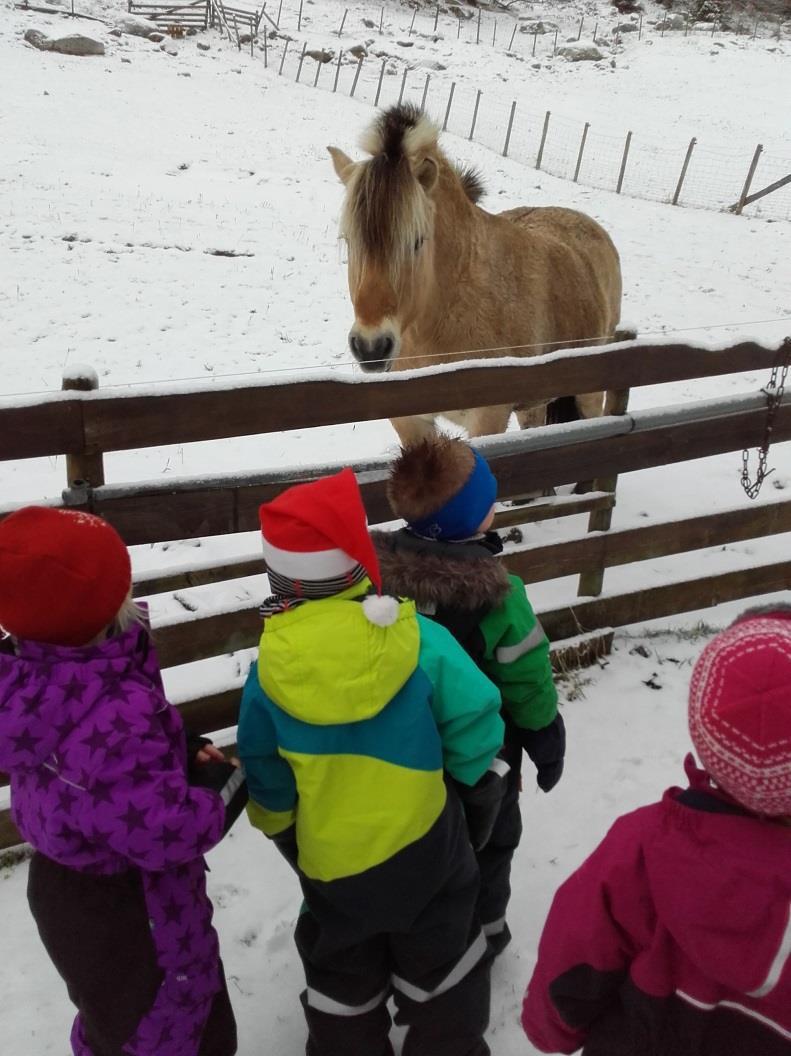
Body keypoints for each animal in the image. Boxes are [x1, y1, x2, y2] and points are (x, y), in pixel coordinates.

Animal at [327, 101, 625, 441]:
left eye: (417, 241)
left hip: (589, 394)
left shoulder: (487, 419)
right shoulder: (411, 420)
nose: (371, 346)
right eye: (348, 240)